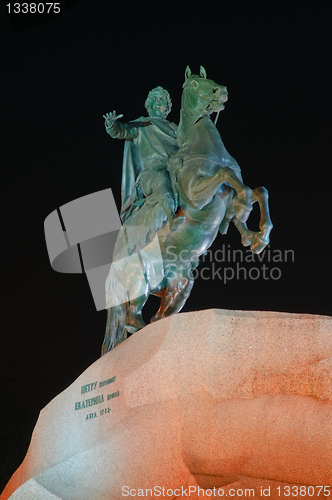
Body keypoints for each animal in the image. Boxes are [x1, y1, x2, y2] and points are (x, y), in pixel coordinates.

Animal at [102, 66, 274, 354]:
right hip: (139, 278)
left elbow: (257, 191)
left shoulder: (226, 194)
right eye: (193, 84)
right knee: (131, 317)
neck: (203, 150)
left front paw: (258, 236)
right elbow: (234, 181)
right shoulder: (197, 196)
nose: (221, 91)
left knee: (157, 317)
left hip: (180, 286)